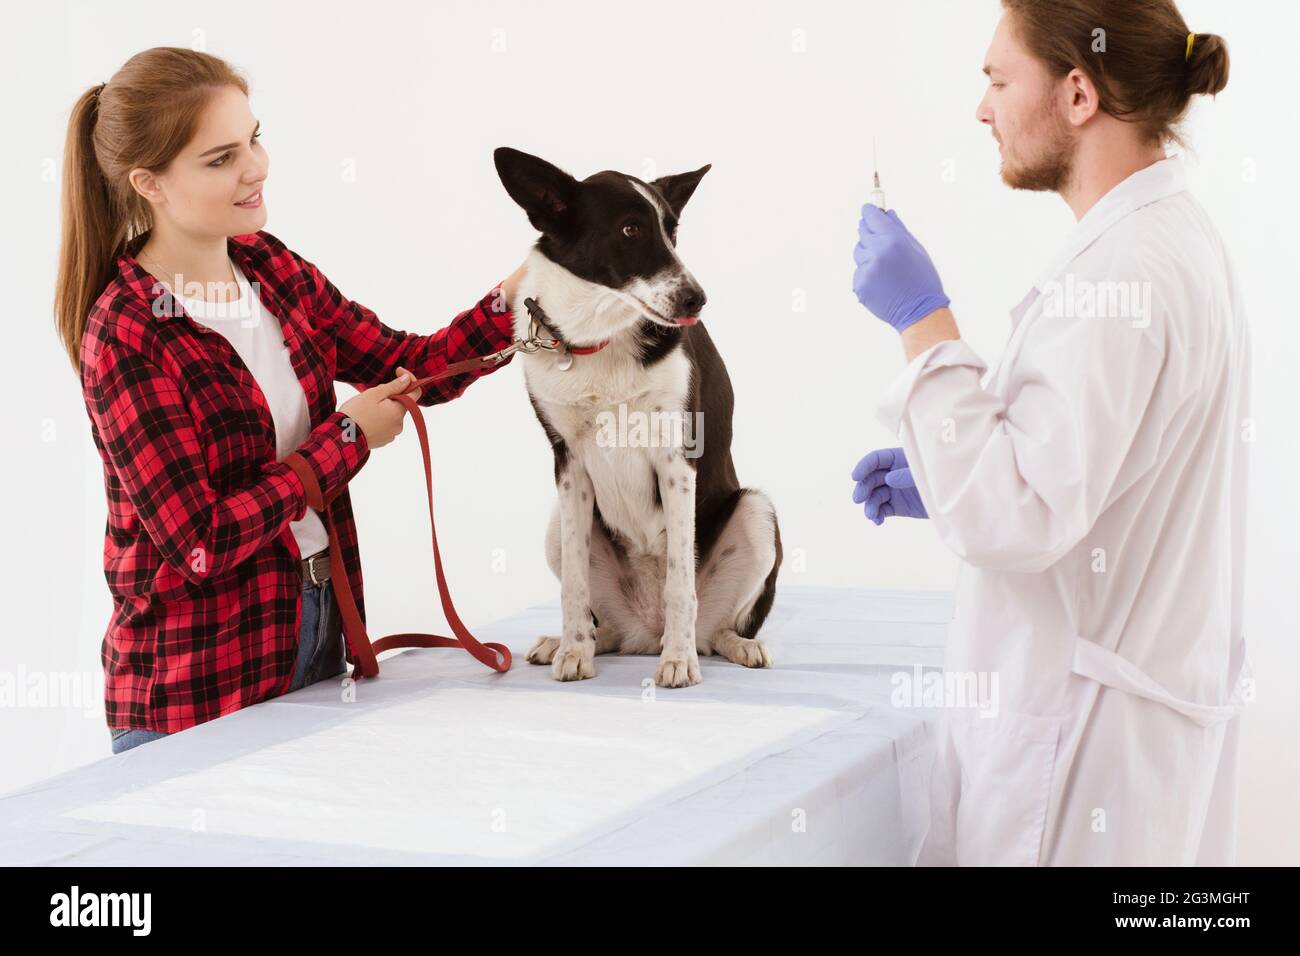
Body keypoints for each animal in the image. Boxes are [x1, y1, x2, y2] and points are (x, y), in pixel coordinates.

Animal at [496, 147, 780, 686]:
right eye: (630, 230)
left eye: (673, 231)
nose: (697, 299)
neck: (598, 334)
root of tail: (644, 634)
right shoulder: (568, 465)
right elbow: (573, 588)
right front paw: (574, 651)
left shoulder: (677, 457)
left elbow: (680, 583)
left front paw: (679, 662)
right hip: (559, 526)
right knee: (603, 623)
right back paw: (576, 641)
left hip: (757, 512)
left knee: (716, 627)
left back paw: (726, 646)